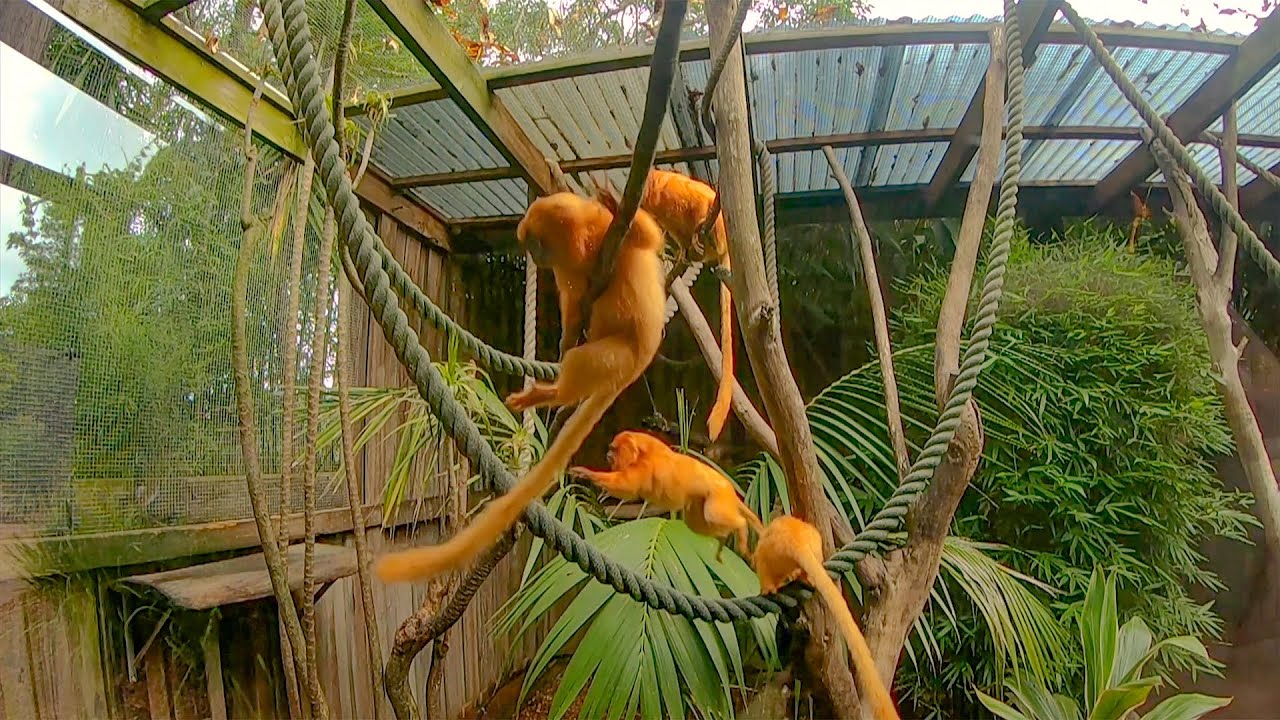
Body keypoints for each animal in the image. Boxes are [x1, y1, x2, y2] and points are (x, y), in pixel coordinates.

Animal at [374, 193, 667, 583]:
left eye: (539, 243)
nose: (535, 254)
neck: (590, 248)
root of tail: (636, 367)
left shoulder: (607, 234)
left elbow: (649, 237)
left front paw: (618, 204)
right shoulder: (570, 272)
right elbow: (574, 310)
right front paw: (565, 338)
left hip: (623, 354)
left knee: (587, 360)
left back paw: (555, 394)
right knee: (578, 355)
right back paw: (550, 389)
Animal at [568, 430, 763, 563]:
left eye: (613, 449)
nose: (608, 454)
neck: (644, 451)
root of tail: (729, 489)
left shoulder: (645, 465)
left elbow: (626, 488)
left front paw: (587, 474)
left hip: (718, 498)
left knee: (717, 516)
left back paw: (740, 526)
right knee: (698, 524)